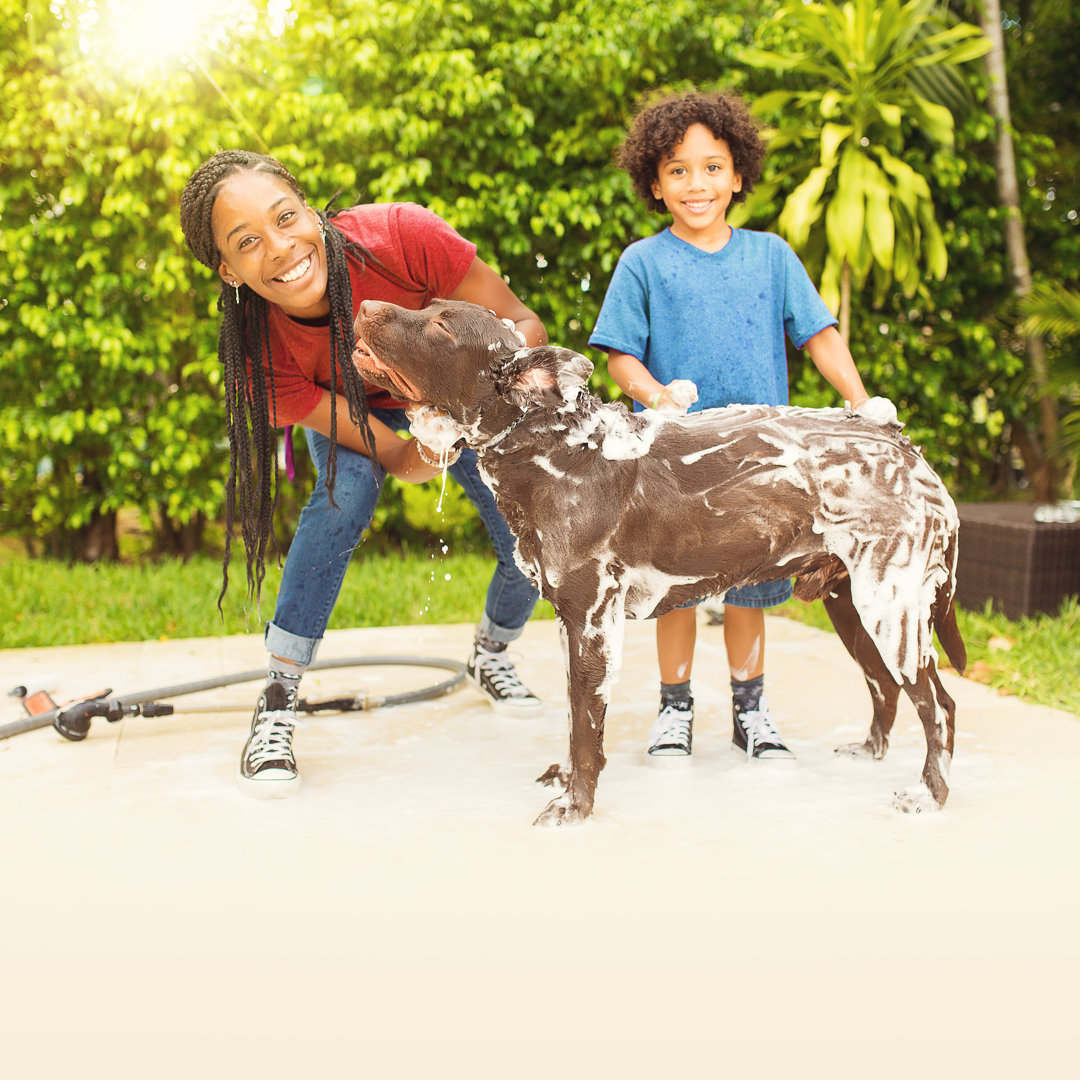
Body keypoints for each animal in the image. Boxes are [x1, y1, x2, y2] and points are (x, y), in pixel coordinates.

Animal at [349, 300, 967, 820]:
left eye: (440, 324)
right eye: (428, 308)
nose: (364, 303)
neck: (553, 447)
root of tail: (906, 446)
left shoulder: (593, 625)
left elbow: (585, 732)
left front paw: (577, 806)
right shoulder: (570, 625)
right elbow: (573, 721)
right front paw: (568, 782)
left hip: (891, 612)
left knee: (939, 707)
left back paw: (930, 794)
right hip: (855, 608)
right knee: (886, 687)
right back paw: (872, 751)